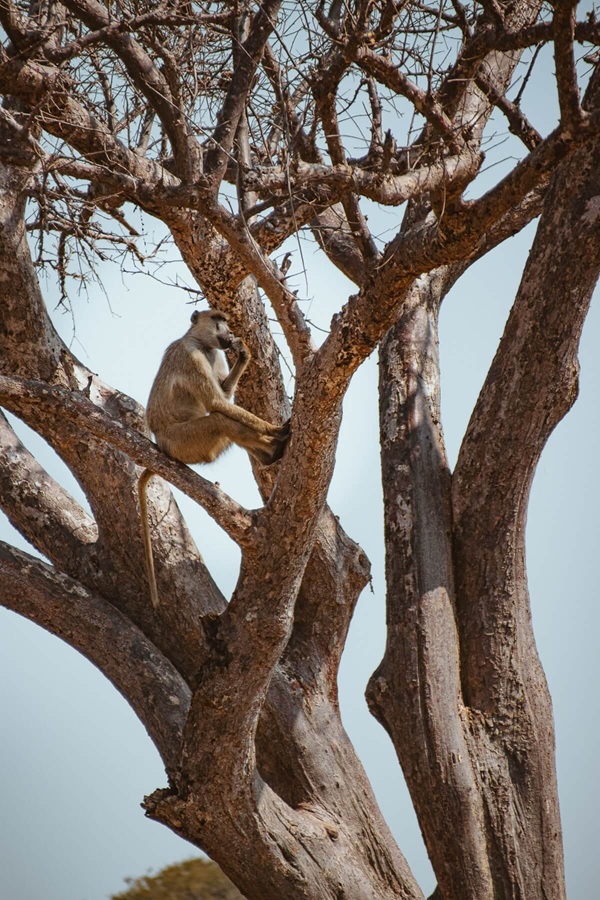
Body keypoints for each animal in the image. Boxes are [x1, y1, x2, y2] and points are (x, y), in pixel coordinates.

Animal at [138, 309, 290, 608]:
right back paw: (276, 445)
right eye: (218, 321)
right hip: (185, 443)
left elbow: (224, 394)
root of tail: (161, 445)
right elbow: (217, 403)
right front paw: (275, 429)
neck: (200, 343)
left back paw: (269, 455)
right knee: (220, 419)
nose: (229, 334)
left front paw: (244, 354)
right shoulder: (193, 358)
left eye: (226, 322)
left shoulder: (215, 355)